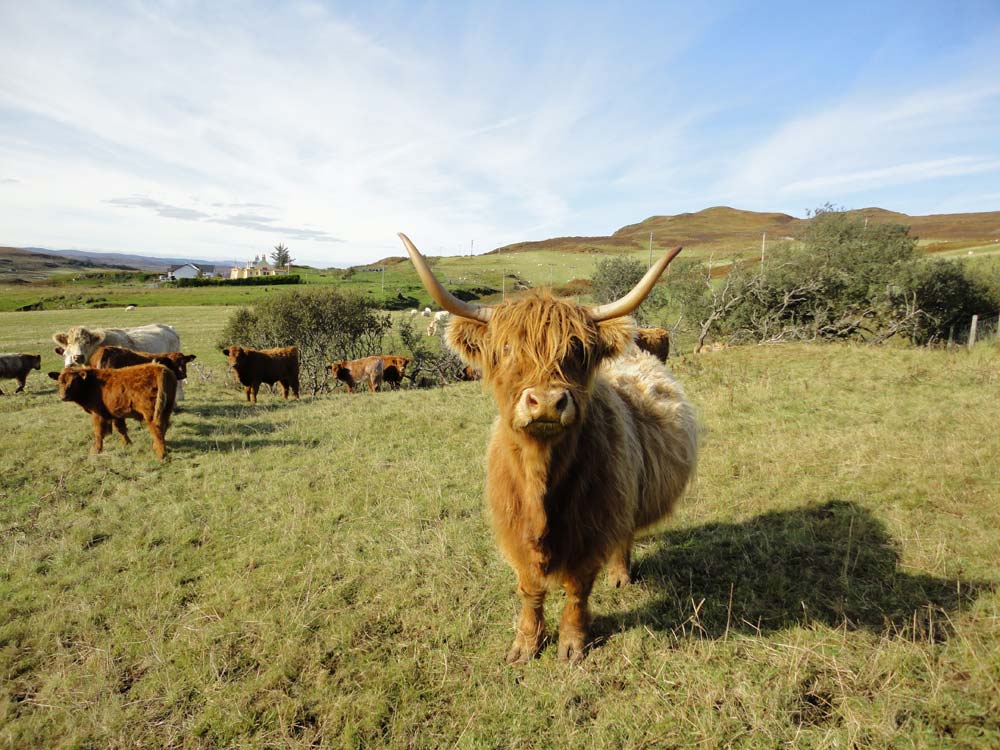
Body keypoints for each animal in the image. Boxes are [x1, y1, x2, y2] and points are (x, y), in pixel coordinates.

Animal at [47, 362, 178, 462]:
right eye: (60, 381)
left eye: (74, 382)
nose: (63, 396)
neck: (90, 384)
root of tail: (159, 368)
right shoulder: (116, 413)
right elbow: (120, 429)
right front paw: (127, 443)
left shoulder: (98, 414)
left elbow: (98, 432)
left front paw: (96, 450)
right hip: (166, 409)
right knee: (164, 426)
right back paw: (157, 447)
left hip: (150, 413)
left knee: (157, 429)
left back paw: (161, 454)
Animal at [398, 234, 696, 664]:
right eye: (506, 348)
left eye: (577, 350)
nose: (547, 402)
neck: (540, 478)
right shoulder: (513, 530)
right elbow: (530, 589)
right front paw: (525, 644)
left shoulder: (592, 528)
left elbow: (577, 589)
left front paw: (571, 645)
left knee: (624, 536)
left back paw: (620, 576)